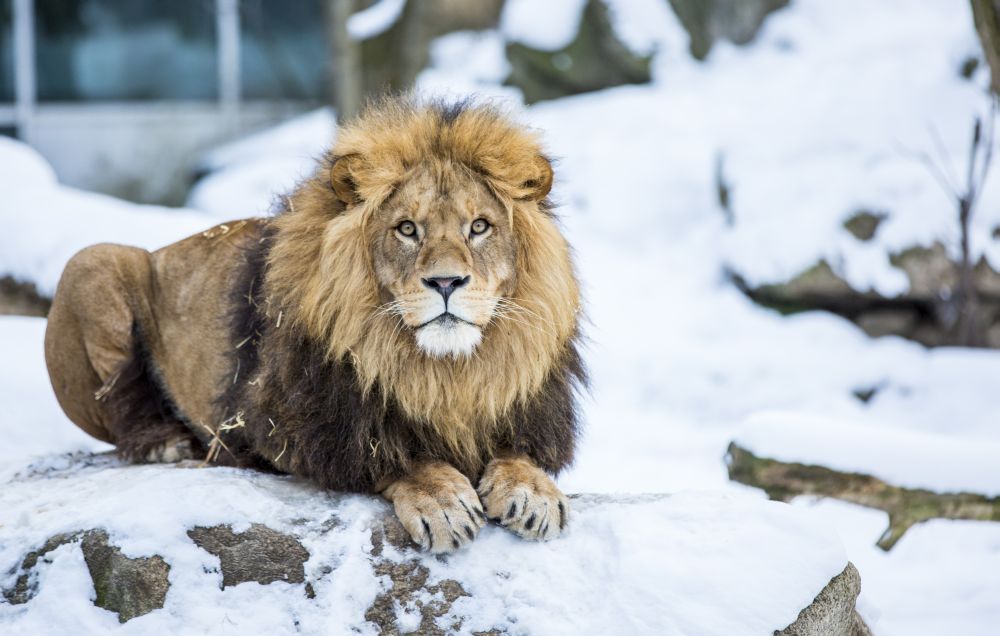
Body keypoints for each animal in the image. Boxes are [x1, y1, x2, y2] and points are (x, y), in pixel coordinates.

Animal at [44, 97, 585, 553]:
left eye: (479, 227)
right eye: (407, 229)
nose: (446, 281)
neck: (444, 372)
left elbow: (520, 453)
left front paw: (532, 492)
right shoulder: (292, 430)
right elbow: (394, 456)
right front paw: (442, 501)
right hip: (92, 260)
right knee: (120, 404)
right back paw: (164, 442)